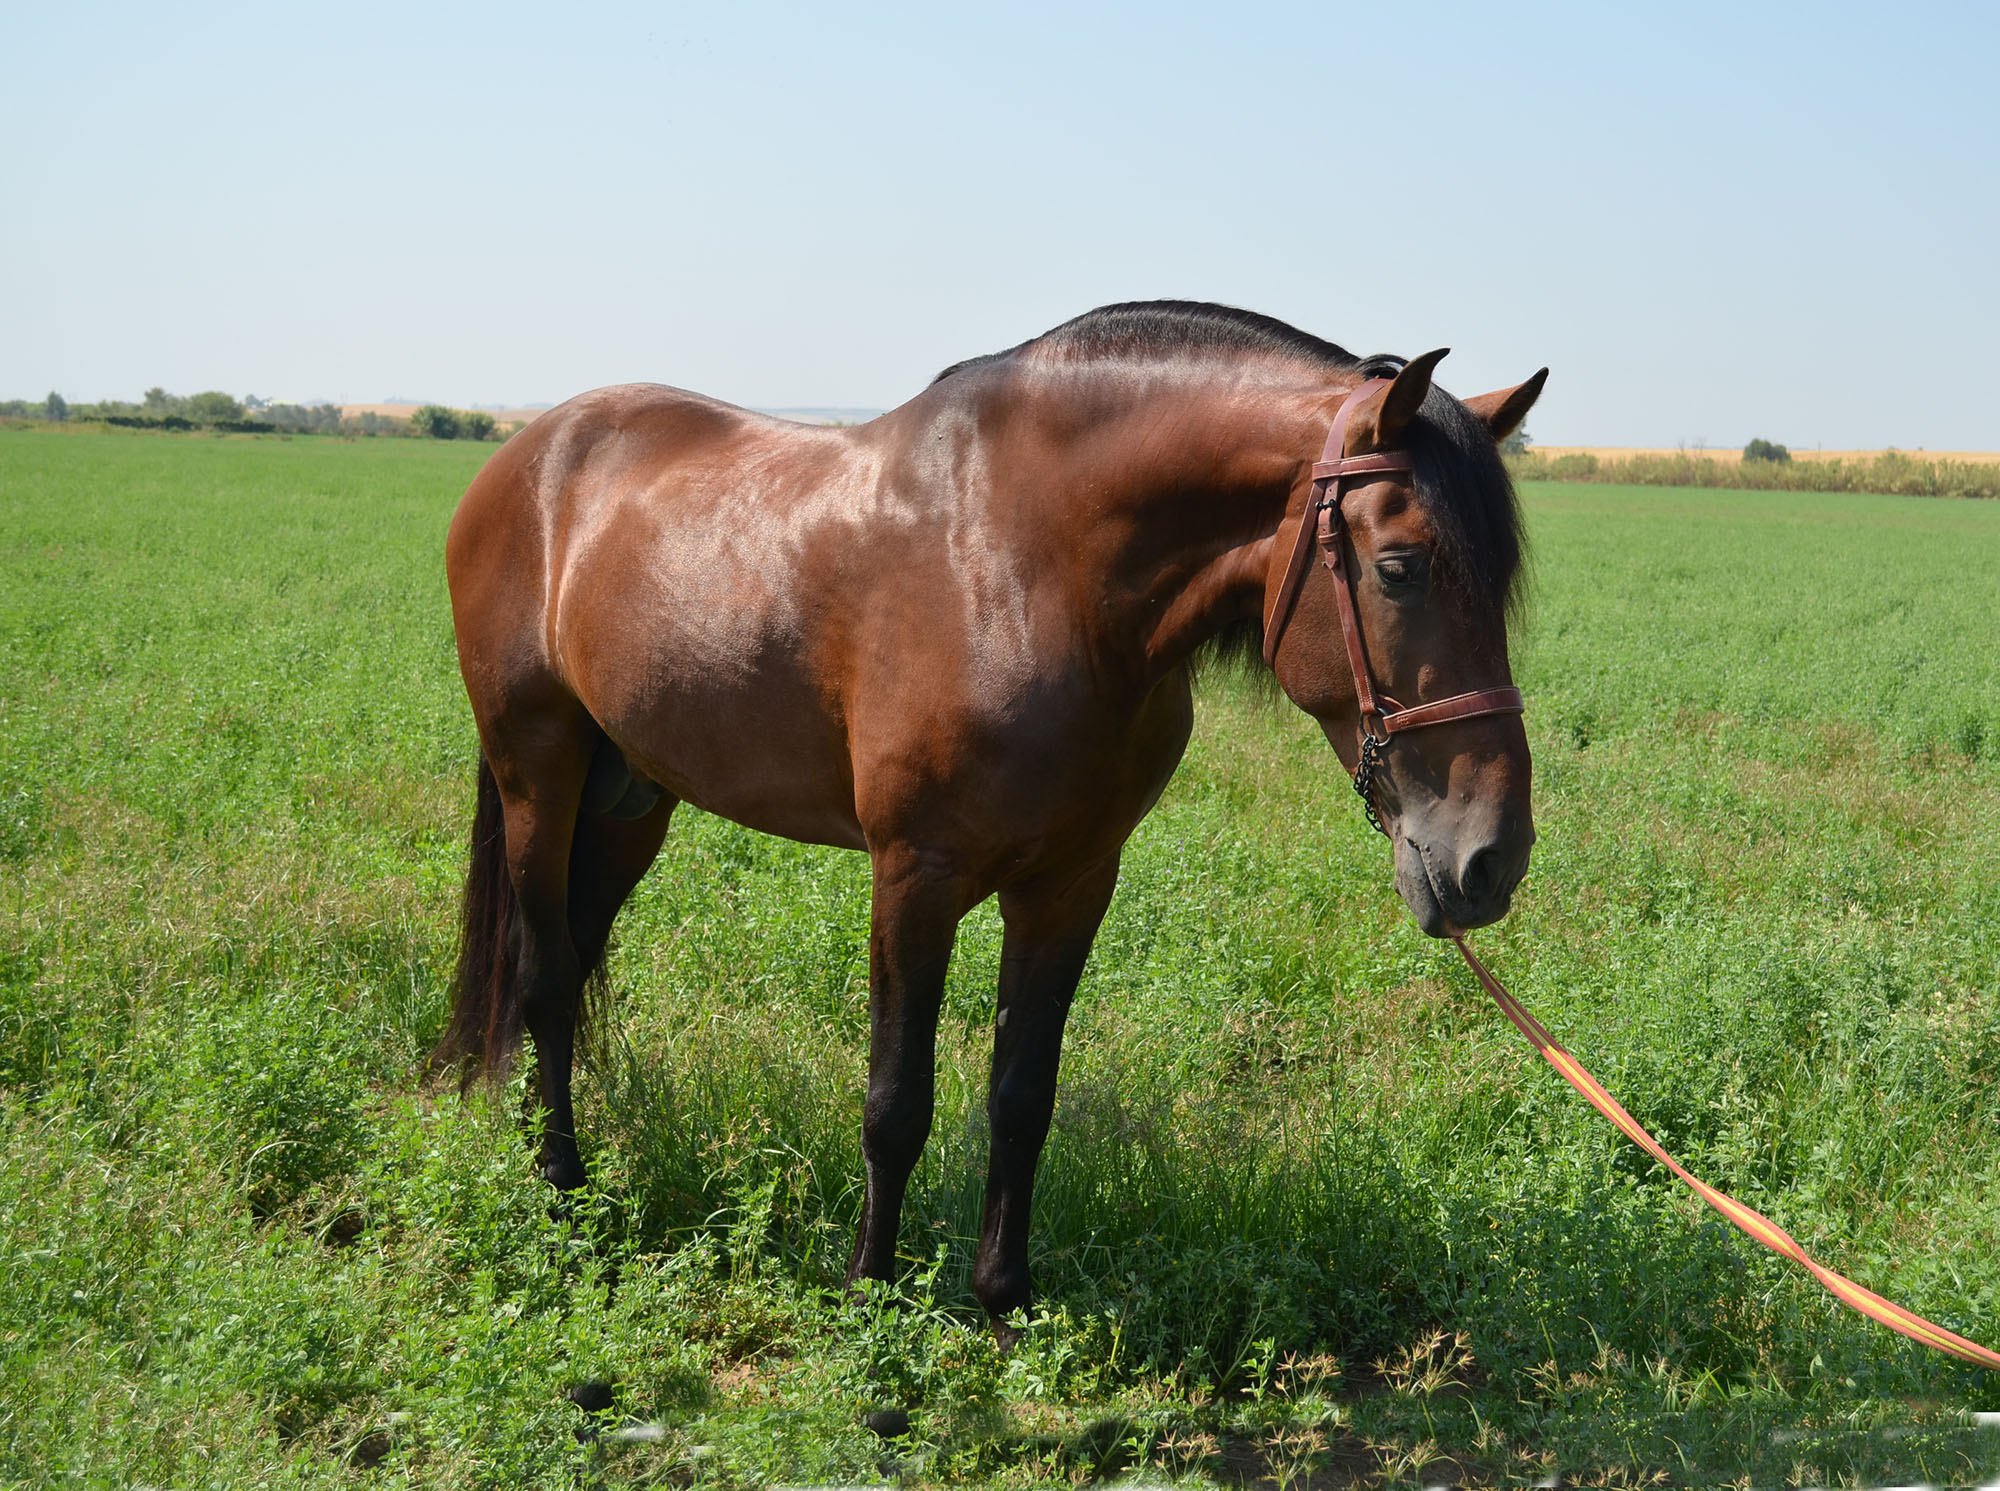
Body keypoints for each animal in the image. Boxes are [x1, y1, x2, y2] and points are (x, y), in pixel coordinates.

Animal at [430, 295, 1536, 1327]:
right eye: (1397, 568)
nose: (1491, 857)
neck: (1029, 568)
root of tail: (530, 452)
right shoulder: (914, 878)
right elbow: (895, 1101)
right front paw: (871, 1296)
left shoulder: (1071, 884)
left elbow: (1021, 1097)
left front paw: (1002, 1299)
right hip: (538, 776)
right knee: (541, 978)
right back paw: (562, 1188)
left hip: (628, 802)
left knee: (567, 967)